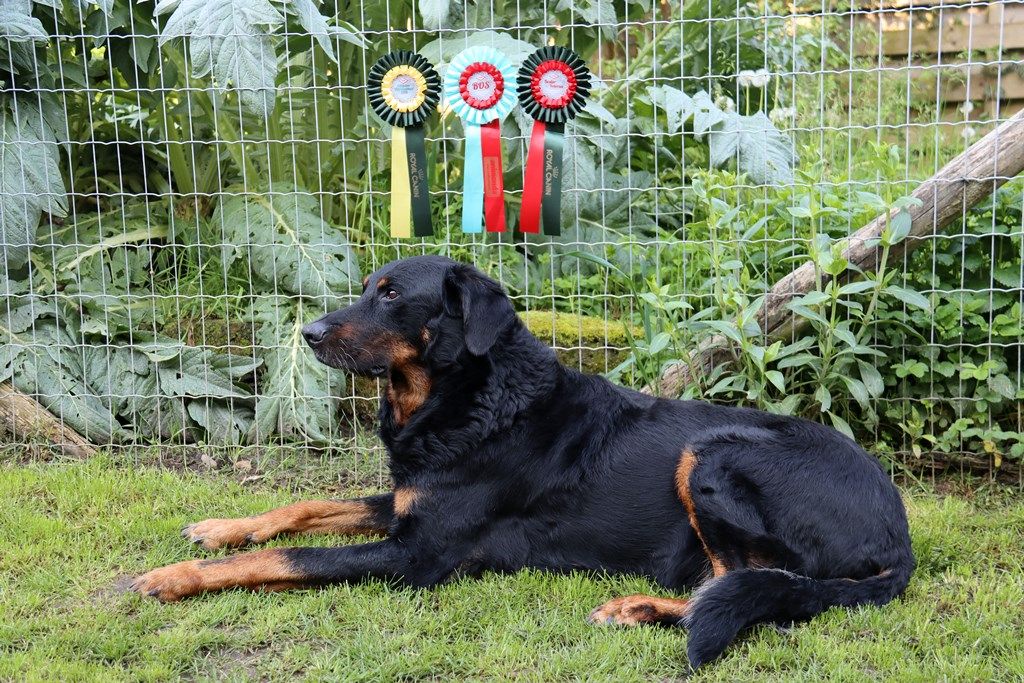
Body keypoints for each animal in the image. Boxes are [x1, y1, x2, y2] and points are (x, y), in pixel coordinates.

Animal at [134, 254, 913, 667]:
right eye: (365, 288)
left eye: (393, 295)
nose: (310, 332)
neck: (468, 398)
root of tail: (899, 538)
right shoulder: (407, 502)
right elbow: (304, 508)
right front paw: (220, 528)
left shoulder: (417, 555)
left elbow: (287, 559)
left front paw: (175, 576)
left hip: (710, 453)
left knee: (743, 584)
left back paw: (637, 607)